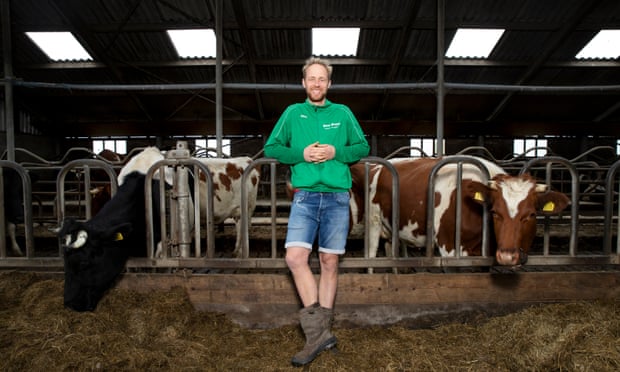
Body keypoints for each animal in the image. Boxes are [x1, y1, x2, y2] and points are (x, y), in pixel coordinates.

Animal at [352, 155, 568, 266]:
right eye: (495, 212)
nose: (507, 256)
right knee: (371, 255)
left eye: (531, 214)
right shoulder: (450, 247)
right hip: (373, 222)